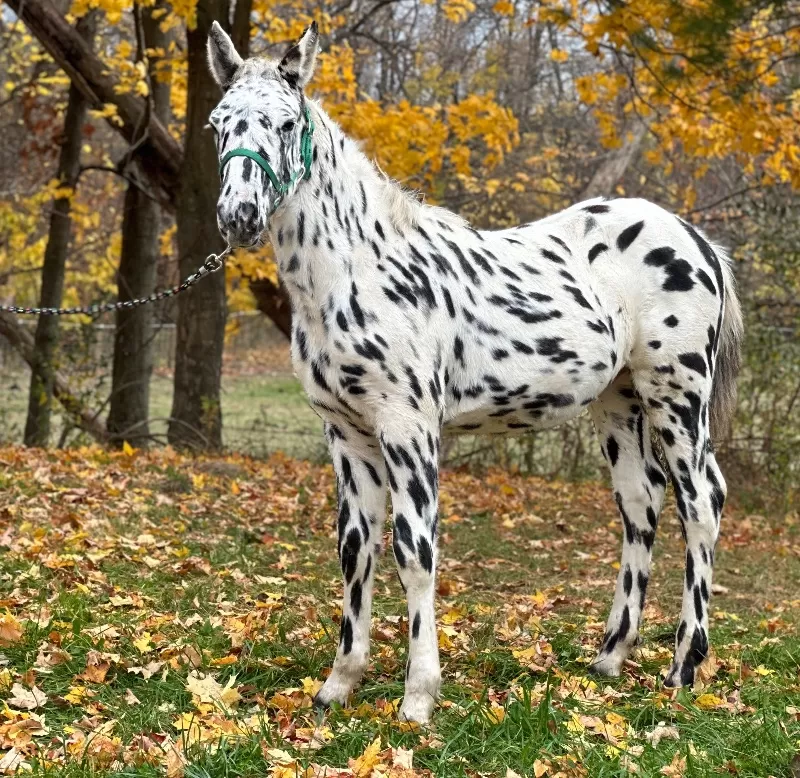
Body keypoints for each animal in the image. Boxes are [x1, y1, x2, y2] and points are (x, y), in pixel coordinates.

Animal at [206, 21, 743, 723]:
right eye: (218, 124)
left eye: (287, 122)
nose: (238, 215)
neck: (356, 268)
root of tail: (695, 239)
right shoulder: (346, 434)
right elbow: (355, 550)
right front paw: (338, 684)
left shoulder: (408, 428)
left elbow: (414, 551)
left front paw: (417, 697)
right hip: (619, 404)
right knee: (640, 503)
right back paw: (609, 659)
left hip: (676, 396)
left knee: (701, 502)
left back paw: (684, 669)